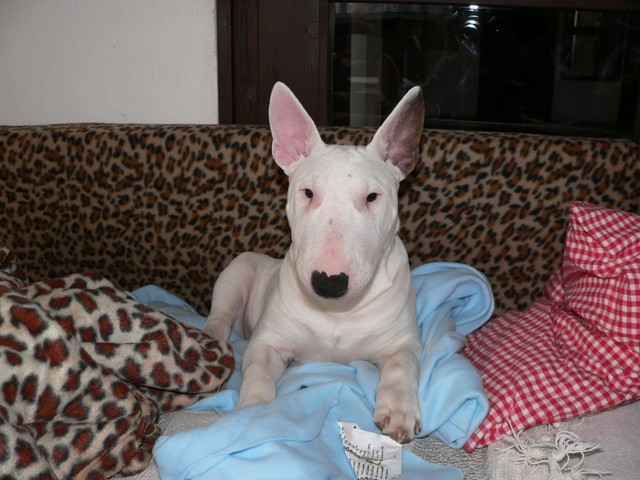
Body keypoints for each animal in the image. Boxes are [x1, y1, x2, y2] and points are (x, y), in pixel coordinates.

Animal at [204, 82, 425, 443]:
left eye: (372, 197)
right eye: (307, 193)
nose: (328, 282)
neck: (336, 313)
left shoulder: (404, 341)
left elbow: (401, 366)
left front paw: (398, 411)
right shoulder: (266, 341)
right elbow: (258, 370)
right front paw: (252, 409)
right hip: (236, 272)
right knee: (220, 315)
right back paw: (211, 337)